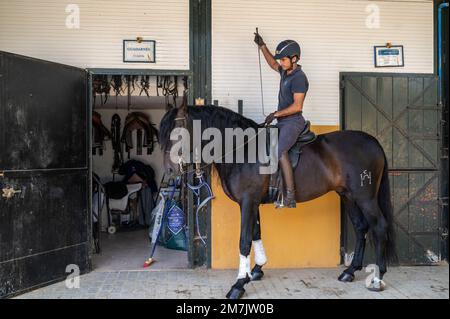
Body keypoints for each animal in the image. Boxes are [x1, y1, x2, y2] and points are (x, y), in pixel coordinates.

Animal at [159, 102, 398, 300]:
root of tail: (374, 142)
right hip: (348, 196)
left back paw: (377, 277)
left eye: (177, 133)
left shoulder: (248, 202)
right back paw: (350, 271)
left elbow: (244, 240)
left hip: (366, 198)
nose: (169, 171)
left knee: (379, 227)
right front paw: (255, 270)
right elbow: (256, 233)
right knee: (360, 227)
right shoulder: (252, 202)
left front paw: (239, 284)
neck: (241, 149)